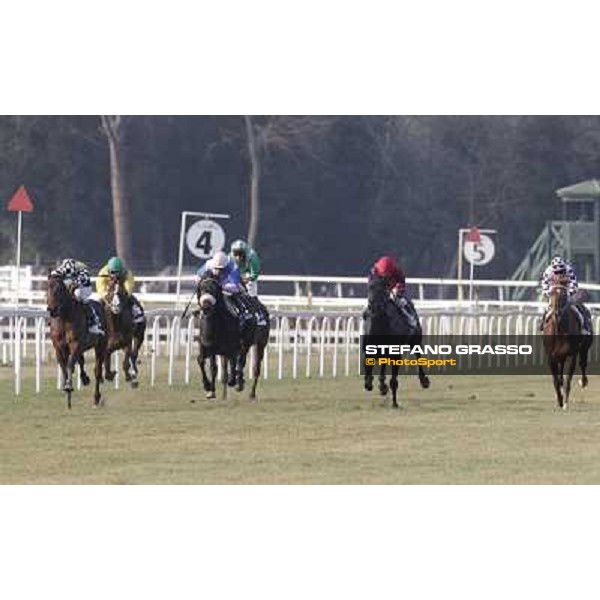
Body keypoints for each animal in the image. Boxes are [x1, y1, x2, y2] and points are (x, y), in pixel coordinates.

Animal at [47, 274, 106, 410]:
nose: (52, 310)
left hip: (100, 346)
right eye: (47, 288)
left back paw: (96, 398)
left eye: (59, 289)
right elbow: (63, 366)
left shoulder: (75, 344)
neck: (64, 318)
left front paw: (69, 387)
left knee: (97, 371)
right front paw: (66, 387)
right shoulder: (58, 347)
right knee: (81, 361)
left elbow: (69, 364)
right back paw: (84, 378)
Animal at [540, 274, 592, 410]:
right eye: (551, 293)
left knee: (583, 364)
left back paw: (583, 381)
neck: (559, 330)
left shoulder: (572, 354)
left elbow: (568, 377)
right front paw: (559, 400)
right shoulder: (550, 356)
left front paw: (565, 402)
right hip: (560, 356)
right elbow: (556, 379)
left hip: (584, 347)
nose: (556, 313)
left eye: (563, 294)